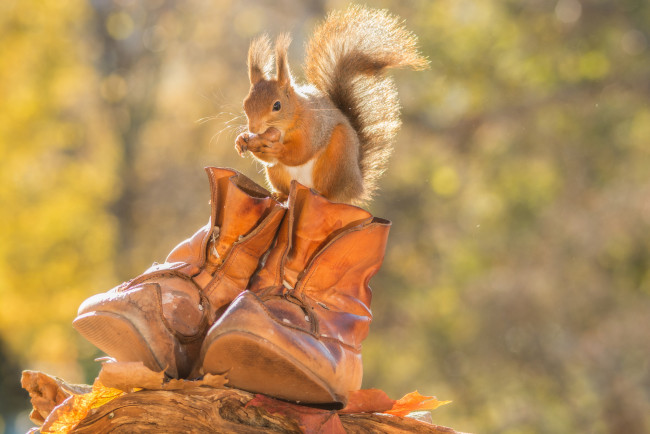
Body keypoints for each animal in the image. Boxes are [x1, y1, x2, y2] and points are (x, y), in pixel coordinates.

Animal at [233, 5, 426, 203]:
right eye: (245, 104)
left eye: (277, 106)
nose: (254, 129)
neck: (284, 126)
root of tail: (355, 187)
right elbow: (269, 159)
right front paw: (241, 140)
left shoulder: (313, 126)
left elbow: (302, 152)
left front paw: (278, 149)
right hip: (278, 174)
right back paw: (280, 194)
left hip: (336, 160)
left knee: (329, 192)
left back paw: (321, 193)